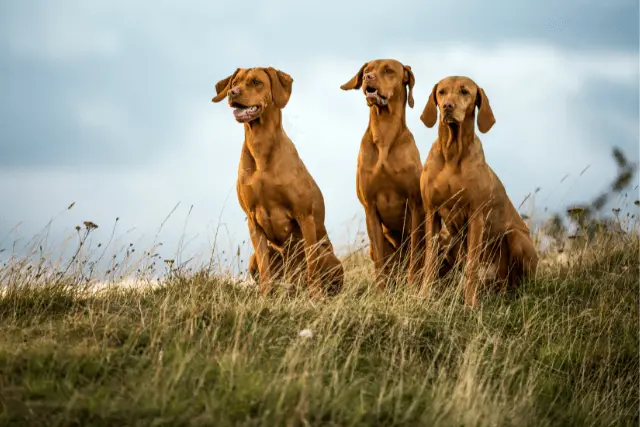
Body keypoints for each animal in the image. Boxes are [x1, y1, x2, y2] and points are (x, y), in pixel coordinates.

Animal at [212, 67, 344, 298]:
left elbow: (311, 266)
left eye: (256, 82)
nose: (232, 93)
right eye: (234, 82)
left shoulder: (305, 216)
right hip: (255, 260)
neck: (261, 147)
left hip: (328, 256)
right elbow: (265, 268)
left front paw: (315, 297)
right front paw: (264, 297)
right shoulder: (253, 220)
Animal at [340, 58, 424, 290]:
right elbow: (379, 261)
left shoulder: (415, 204)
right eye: (367, 71)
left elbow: (415, 255)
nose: (368, 77)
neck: (385, 134)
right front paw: (381, 290)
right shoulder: (370, 208)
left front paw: (413, 287)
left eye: (388, 70)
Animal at [420, 75, 540, 306]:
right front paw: (424, 295)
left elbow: (472, 265)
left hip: (516, 237)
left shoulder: (476, 216)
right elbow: (430, 259)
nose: (447, 106)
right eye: (441, 92)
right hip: (449, 239)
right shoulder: (432, 212)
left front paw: (470, 304)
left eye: (464, 91)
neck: (452, 153)